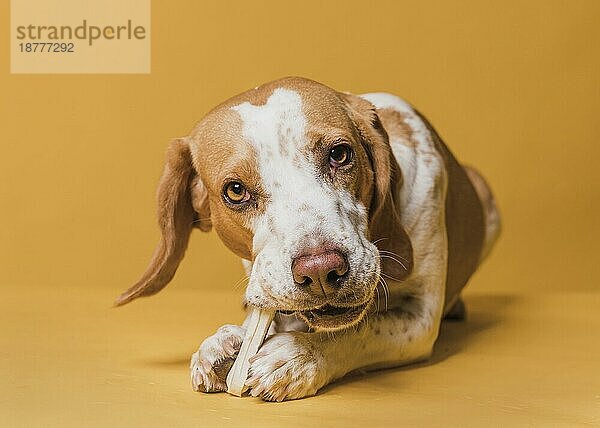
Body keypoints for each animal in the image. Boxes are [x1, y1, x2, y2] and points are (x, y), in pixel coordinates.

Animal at [115, 76, 500, 402]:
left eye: (340, 155)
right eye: (235, 190)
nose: (320, 271)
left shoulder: (421, 317)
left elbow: (361, 330)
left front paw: (300, 355)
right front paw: (225, 341)